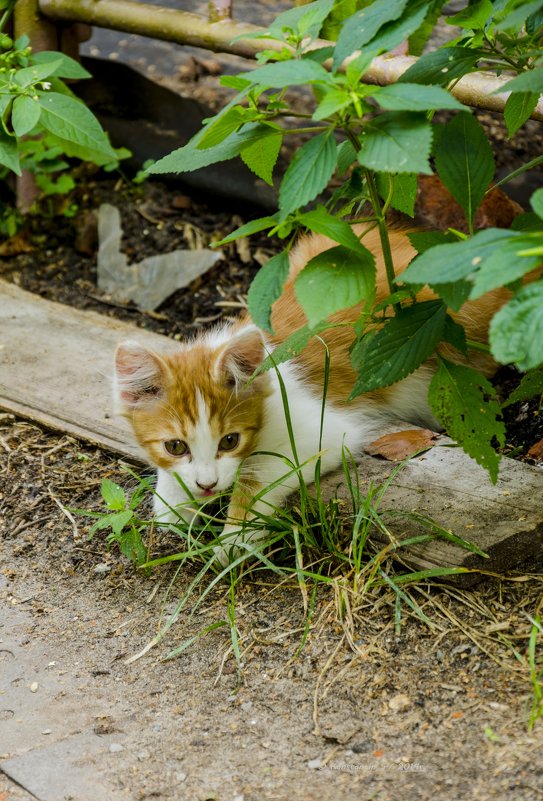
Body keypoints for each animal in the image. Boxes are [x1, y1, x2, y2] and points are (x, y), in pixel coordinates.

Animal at [113, 225, 510, 564]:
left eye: (229, 441)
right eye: (175, 446)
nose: (207, 485)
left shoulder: (320, 430)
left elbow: (260, 476)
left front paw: (235, 537)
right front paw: (172, 502)